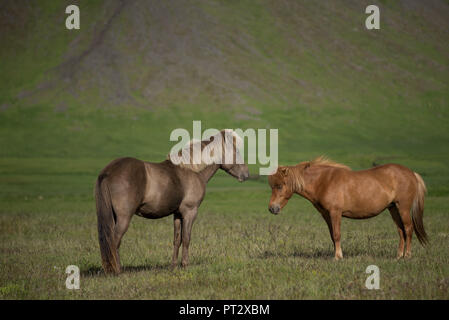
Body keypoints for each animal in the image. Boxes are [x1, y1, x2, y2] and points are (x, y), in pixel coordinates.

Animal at [95, 129, 248, 274]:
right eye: (236, 151)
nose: (246, 174)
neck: (191, 170)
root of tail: (108, 171)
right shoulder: (190, 212)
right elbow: (186, 238)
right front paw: (185, 265)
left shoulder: (177, 214)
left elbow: (177, 239)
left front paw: (173, 266)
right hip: (124, 217)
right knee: (114, 240)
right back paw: (117, 270)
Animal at [266, 157, 428, 260]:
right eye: (272, 186)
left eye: (279, 186)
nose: (272, 209)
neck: (324, 181)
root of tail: (411, 173)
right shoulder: (327, 215)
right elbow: (332, 236)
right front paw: (337, 254)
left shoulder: (335, 213)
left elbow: (337, 234)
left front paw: (338, 257)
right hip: (393, 208)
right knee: (401, 231)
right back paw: (398, 256)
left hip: (403, 208)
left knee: (408, 229)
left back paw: (407, 256)